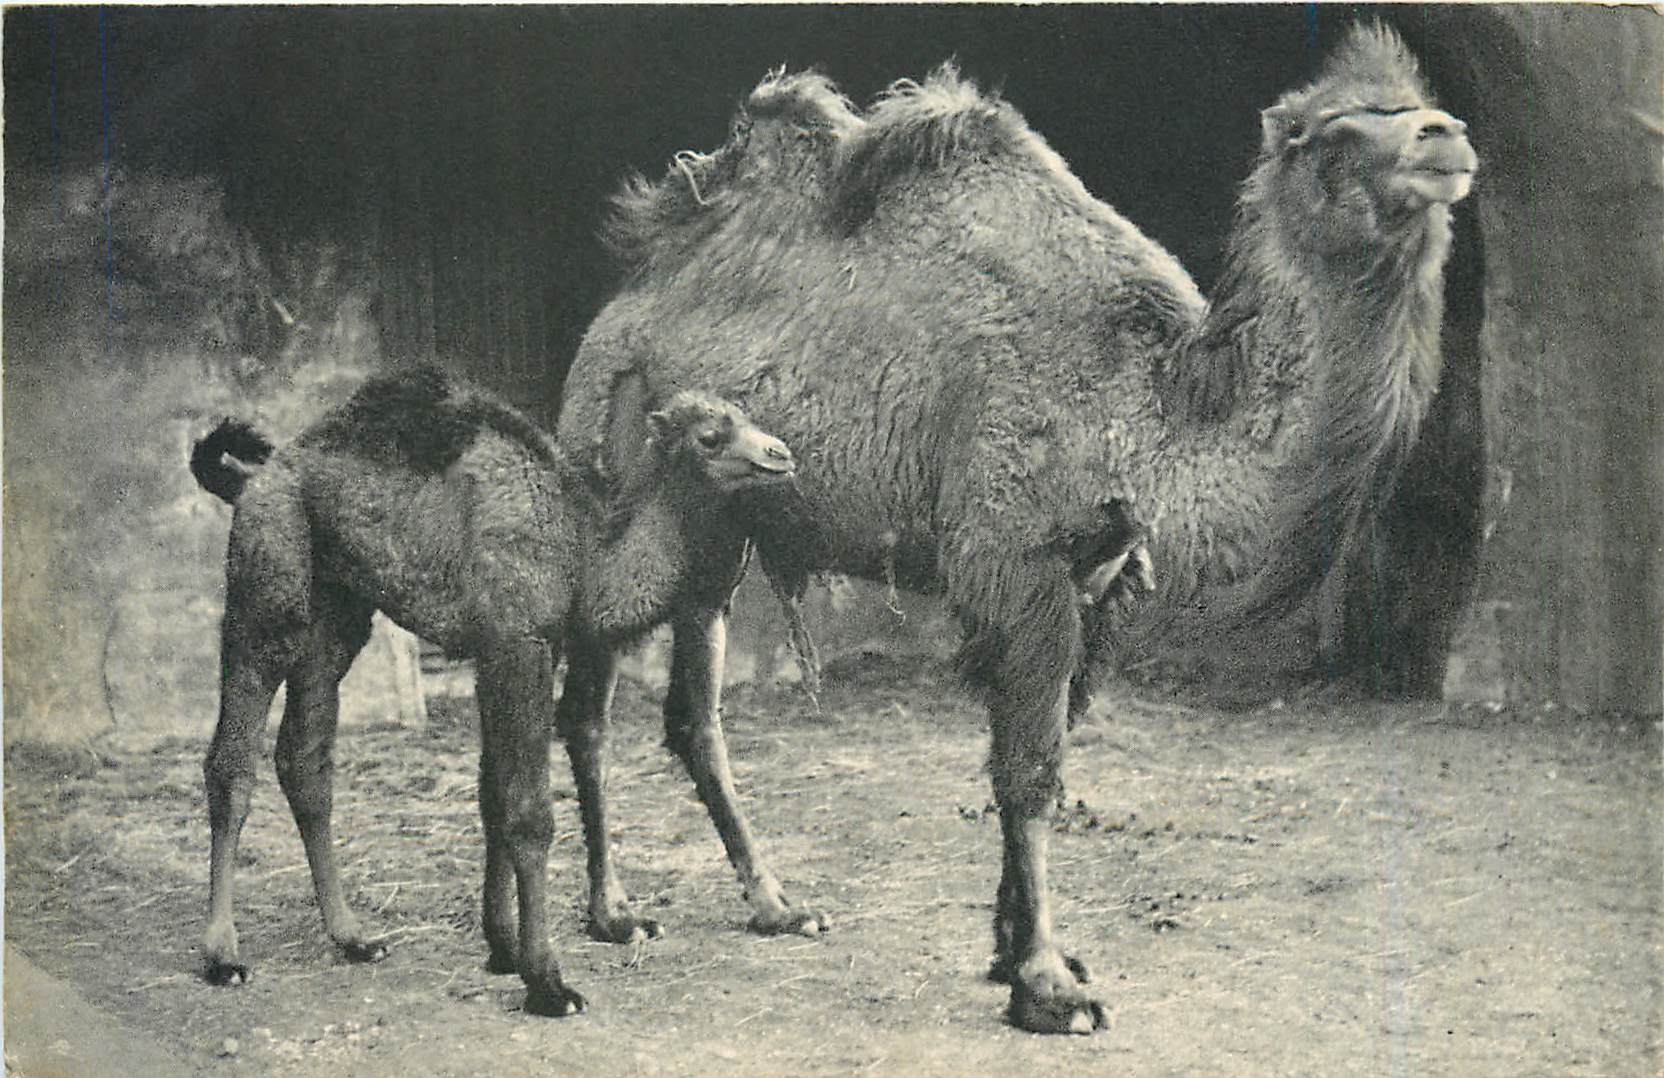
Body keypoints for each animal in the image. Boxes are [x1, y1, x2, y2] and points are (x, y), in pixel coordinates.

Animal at [191, 365, 795, 1016]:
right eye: (710, 436)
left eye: (749, 417)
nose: (780, 454)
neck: (581, 551)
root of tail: (256, 479)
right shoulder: (517, 641)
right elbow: (529, 813)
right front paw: (548, 983)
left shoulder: (500, 651)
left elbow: (493, 797)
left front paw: (503, 948)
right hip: (267, 587)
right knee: (232, 760)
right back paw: (223, 955)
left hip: (337, 616)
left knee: (306, 758)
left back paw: (354, 938)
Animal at [555, 25, 1475, 1033]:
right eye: (1327, 132)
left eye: (1414, 104)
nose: (1447, 138)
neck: (1140, 408)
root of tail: (619, 306)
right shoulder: (1015, 560)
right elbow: (1029, 770)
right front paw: (1048, 986)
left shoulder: (1101, 573)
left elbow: (1040, 757)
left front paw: (1017, 954)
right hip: (610, 472)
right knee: (589, 705)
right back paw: (613, 914)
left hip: (715, 528)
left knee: (695, 715)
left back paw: (777, 905)